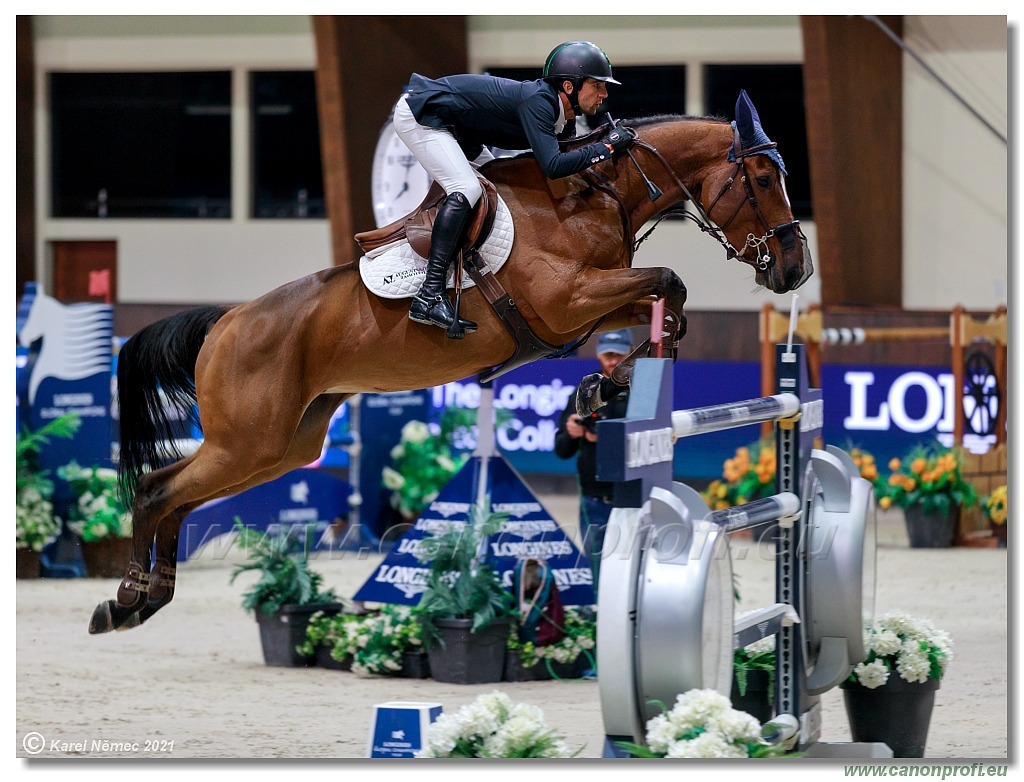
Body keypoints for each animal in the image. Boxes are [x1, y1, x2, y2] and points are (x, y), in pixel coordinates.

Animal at [90, 88, 806, 630]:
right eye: (762, 178)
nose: (796, 268)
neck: (595, 193)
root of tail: (227, 321)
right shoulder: (568, 299)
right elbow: (669, 281)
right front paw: (601, 390)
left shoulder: (591, 307)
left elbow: (670, 305)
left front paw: (601, 390)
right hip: (249, 441)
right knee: (158, 490)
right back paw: (126, 599)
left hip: (282, 445)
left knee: (180, 498)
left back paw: (146, 598)